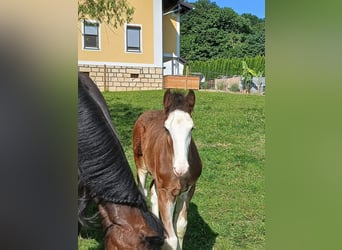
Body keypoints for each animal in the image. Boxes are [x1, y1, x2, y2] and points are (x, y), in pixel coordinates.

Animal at [133, 89, 203, 249]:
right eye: (166, 128)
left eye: (192, 128)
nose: (181, 168)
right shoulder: (166, 192)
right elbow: (171, 239)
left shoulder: (188, 190)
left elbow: (181, 227)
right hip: (141, 166)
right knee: (143, 190)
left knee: (153, 192)